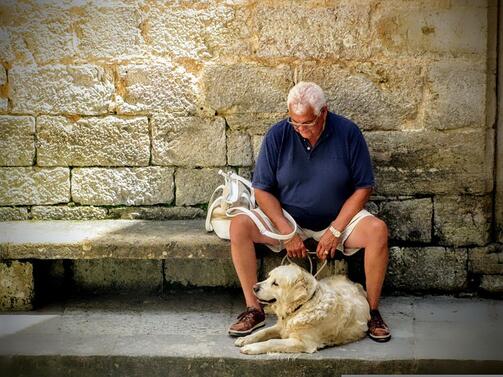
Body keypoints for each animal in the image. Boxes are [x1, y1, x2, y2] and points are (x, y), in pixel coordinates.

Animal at [235, 262, 370, 354]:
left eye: (275, 283)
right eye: (268, 277)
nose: (254, 287)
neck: (302, 307)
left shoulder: (302, 342)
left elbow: (272, 341)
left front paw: (251, 347)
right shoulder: (281, 327)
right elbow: (263, 331)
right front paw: (245, 339)